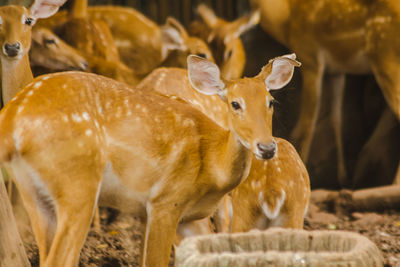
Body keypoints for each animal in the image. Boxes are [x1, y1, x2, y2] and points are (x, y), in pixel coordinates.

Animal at [0, 1, 300, 266]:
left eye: (271, 101)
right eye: (235, 104)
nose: (267, 147)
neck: (213, 166)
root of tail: (13, 120)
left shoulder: (182, 217)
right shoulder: (166, 202)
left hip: (32, 190)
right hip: (77, 184)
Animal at [252, 0, 400, 187]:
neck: (286, 18)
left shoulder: (310, 58)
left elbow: (308, 123)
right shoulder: (335, 72)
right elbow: (336, 118)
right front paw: (342, 178)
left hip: (385, 57)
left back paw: (393, 183)